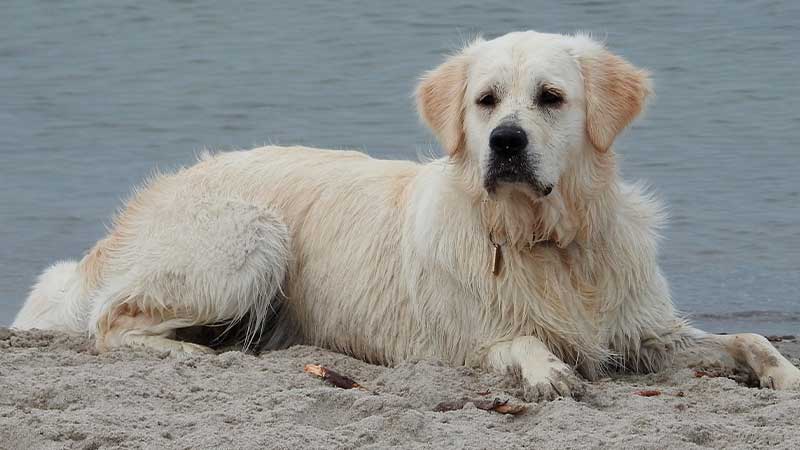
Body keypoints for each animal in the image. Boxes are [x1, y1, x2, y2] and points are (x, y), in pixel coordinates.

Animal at [14, 29, 800, 400]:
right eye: (486, 100)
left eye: (550, 97)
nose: (504, 142)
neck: (545, 241)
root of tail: (149, 196)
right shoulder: (462, 338)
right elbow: (517, 340)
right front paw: (546, 369)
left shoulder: (645, 331)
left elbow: (751, 338)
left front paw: (784, 376)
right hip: (253, 235)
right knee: (112, 323)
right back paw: (197, 353)